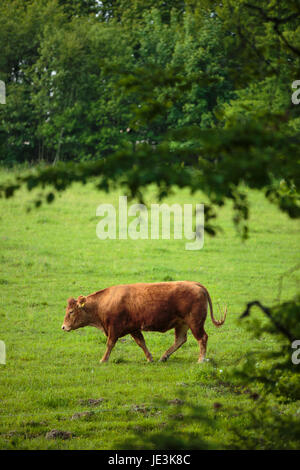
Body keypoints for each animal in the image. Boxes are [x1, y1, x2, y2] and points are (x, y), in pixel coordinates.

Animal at [61, 280, 226, 362]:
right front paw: (150, 358)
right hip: (182, 323)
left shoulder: (114, 328)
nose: (63, 327)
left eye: (71, 311)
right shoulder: (134, 328)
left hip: (195, 322)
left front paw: (103, 360)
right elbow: (141, 343)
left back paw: (201, 359)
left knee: (202, 338)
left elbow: (110, 344)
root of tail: (195, 284)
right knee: (180, 340)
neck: (104, 302)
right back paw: (164, 357)